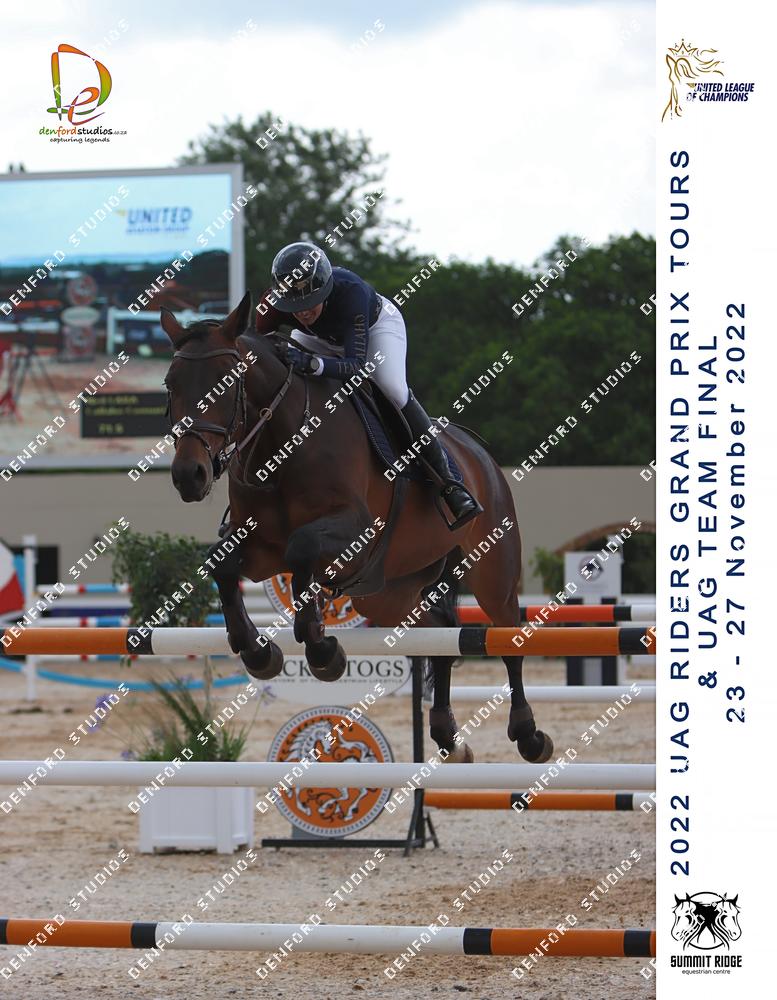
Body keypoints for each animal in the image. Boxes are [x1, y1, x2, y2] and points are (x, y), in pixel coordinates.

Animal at [161, 292, 553, 764]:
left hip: (493, 569)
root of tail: (480, 456)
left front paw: (322, 649)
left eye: (228, 381)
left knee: (509, 638)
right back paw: (447, 736)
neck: (282, 443)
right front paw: (259, 652)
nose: (189, 475)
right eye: (170, 385)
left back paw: (529, 735)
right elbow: (222, 564)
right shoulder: (258, 547)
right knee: (438, 631)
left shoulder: (357, 531)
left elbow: (301, 548)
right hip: (391, 593)